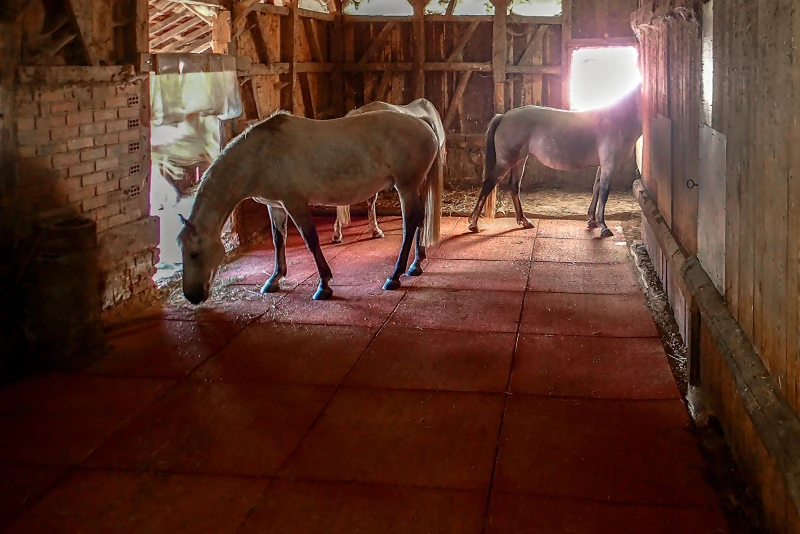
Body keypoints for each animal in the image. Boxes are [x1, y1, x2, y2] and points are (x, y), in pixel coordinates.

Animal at [177, 110, 443, 303]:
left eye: (195, 253)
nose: (192, 296)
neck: (260, 156)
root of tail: (422, 122)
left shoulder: (295, 203)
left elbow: (311, 240)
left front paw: (324, 285)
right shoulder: (276, 206)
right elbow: (278, 239)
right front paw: (274, 280)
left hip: (406, 186)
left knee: (410, 223)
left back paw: (394, 276)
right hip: (414, 186)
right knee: (420, 219)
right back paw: (415, 265)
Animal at [467, 84, 642, 237]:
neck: (617, 120)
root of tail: (503, 116)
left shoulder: (602, 165)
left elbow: (596, 188)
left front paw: (592, 220)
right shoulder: (609, 164)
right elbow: (604, 193)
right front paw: (603, 226)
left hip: (519, 160)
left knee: (514, 186)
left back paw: (524, 221)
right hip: (506, 161)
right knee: (488, 184)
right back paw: (473, 223)